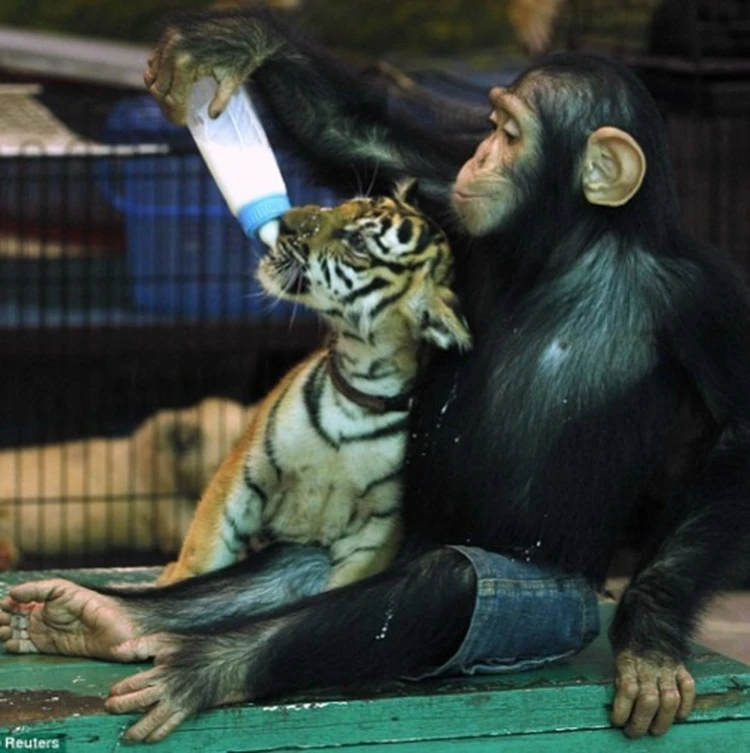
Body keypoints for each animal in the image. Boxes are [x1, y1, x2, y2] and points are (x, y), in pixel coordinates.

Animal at [1, 5, 750, 744]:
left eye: (509, 133)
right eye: (489, 128)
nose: (284, 222)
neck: (574, 246)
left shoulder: (702, 297)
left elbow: (735, 432)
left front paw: (649, 638)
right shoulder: (245, 474)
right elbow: (368, 140)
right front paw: (231, 42)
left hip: (536, 601)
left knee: (437, 584)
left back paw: (200, 666)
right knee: (271, 574)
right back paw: (100, 617)